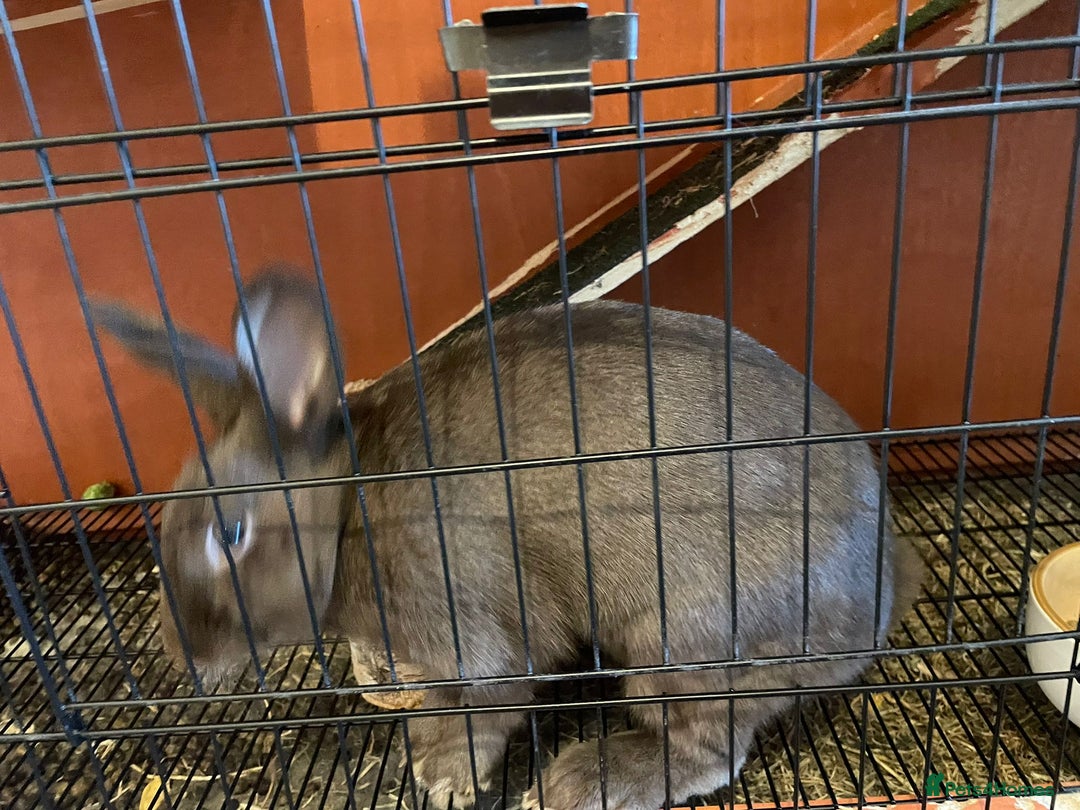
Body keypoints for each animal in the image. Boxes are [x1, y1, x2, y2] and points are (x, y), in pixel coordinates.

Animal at [92, 264, 924, 810]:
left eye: (230, 532)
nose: (181, 656)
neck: (352, 510)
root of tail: (874, 607)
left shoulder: (474, 629)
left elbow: (491, 701)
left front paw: (446, 779)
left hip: (682, 637)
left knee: (707, 748)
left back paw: (581, 782)